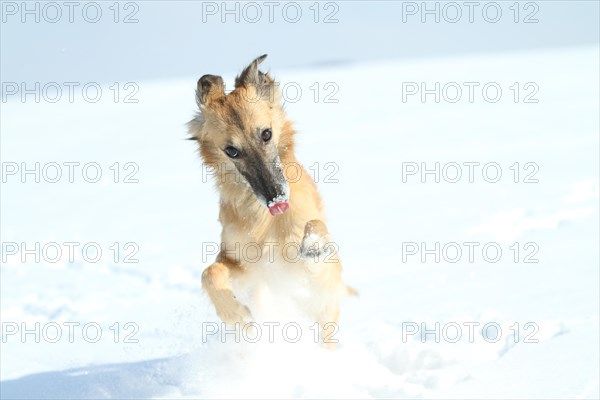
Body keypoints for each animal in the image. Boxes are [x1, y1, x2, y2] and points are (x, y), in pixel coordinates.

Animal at [188, 54, 354, 346]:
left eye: (266, 133)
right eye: (231, 151)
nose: (277, 198)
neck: (265, 220)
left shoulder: (313, 275)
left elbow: (315, 231)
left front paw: (313, 245)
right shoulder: (245, 267)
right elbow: (209, 273)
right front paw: (237, 315)